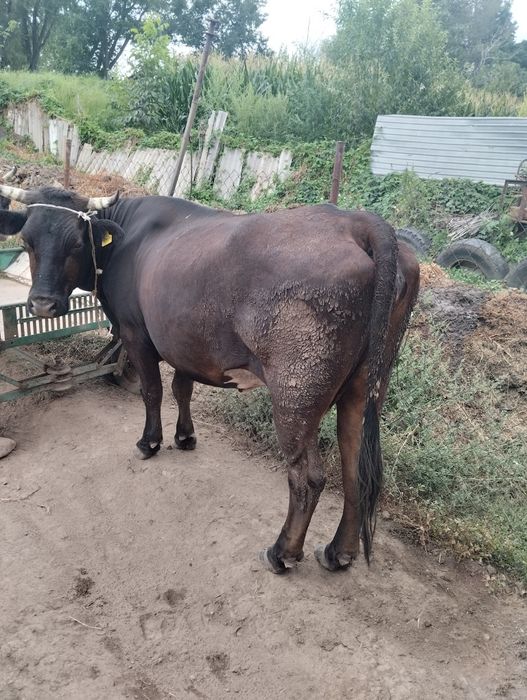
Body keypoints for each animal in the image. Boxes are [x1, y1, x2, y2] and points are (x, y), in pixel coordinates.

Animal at [0, 184, 419, 574]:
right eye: (28, 240)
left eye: (75, 242)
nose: (42, 304)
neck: (126, 237)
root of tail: (356, 221)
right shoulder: (183, 342)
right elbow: (181, 388)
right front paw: (185, 436)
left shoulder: (137, 335)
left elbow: (153, 392)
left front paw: (150, 442)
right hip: (364, 389)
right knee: (355, 469)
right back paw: (338, 552)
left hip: (296, 393)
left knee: (309, 476)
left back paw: (282, 552)